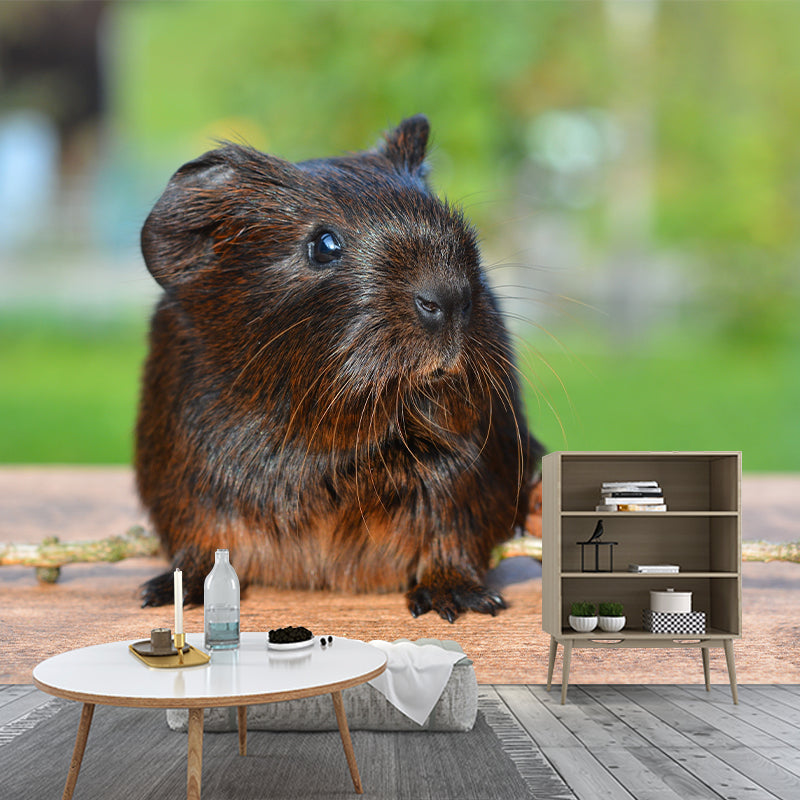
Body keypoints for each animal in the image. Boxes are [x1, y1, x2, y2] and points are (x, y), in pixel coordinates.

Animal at [136, 115, 544, 621]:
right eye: (324, 245)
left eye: (448, 218)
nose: (448, 297)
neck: (326, 448)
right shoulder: (191, 484)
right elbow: (199, 544)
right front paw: (157, 594)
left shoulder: (467, 473)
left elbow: (452, 534)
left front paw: (457, 603)